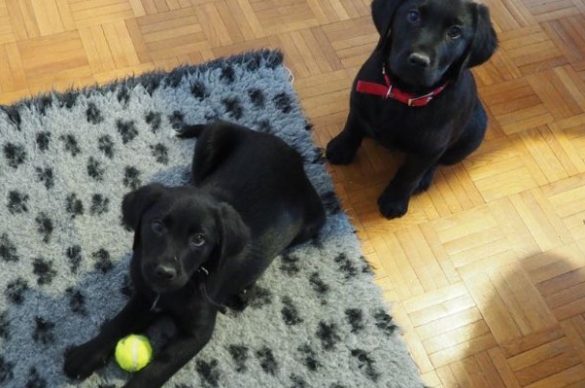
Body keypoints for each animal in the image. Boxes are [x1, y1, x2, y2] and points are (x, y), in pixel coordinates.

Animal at [67, 121, 328, 388]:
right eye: (157, 226)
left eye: (199, 240)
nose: (164, 273)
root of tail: (291, 152)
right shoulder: (145, 295)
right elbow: (118, 323)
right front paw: (85, 354)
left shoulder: (197, 332)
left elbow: (159, 366)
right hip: (211, 139)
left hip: (311, 226)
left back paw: (244, 291)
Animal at [326, 0, 496, 218]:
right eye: (413, 16)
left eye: (455, 32)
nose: (419, 60)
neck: (402, 93)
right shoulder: (358, 103)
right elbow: (352, 128)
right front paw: (340, 149)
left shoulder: (429, 149)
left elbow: (409, 176)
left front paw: (394, 201)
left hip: (473, 133)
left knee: (438, 162)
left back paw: (424, 179)